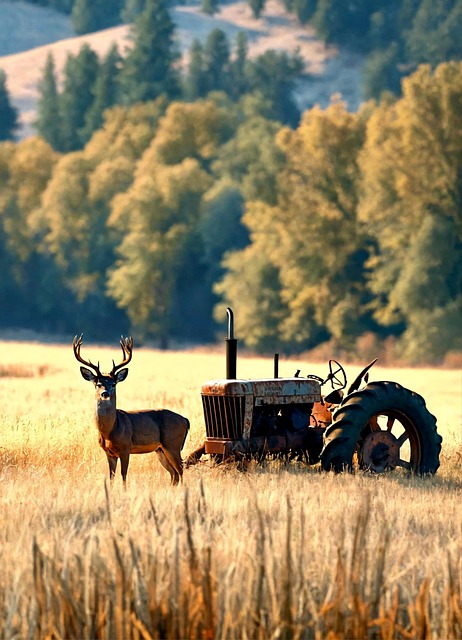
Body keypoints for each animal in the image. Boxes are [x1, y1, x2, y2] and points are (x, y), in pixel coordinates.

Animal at [73, 334, 189, 487]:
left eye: (113, 384)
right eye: (98, 384)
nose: (105, 393)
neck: (110, 431)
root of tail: (185, 420)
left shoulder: (125, 448)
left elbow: (123, 475)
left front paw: (124, 490)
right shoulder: (108, 453)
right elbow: (111, 477)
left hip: (173, 444)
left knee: (181, 470)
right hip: (160, 450)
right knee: (174, 473)